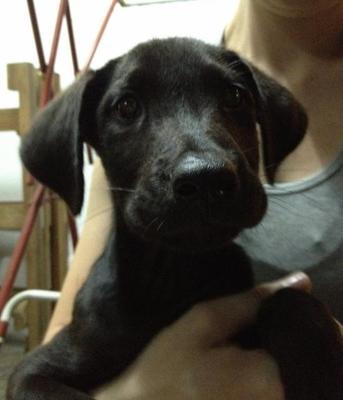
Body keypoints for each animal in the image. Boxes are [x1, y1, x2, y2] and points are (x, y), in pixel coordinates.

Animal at [7, 38, 343, 400]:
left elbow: (289, 299)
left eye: (235, 96)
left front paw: (318, 371)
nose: (205, 179)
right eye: (126, 106)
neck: (174, 275)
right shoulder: (34, 369)